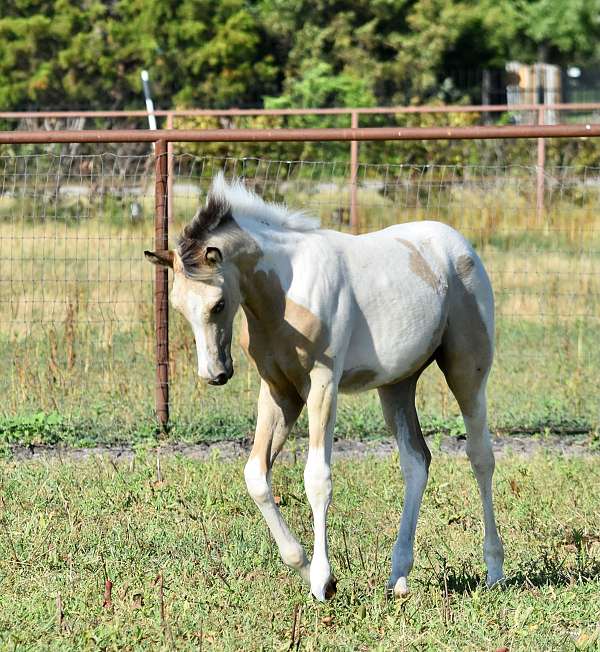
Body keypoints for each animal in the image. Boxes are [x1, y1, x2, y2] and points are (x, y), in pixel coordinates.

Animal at [146, 173, 506, 600]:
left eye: (218, 304)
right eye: (177, 306)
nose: (215, 374)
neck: (286, 291)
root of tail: (461, 245)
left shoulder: (322, 385)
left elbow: (317, 478)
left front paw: (321, 579)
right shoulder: (278, 390)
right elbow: (256, 476)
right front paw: (308, 569)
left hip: (467, 371)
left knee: (481, 456)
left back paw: (494, 570)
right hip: (397, 385)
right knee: (416, 461)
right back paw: (398, 577)